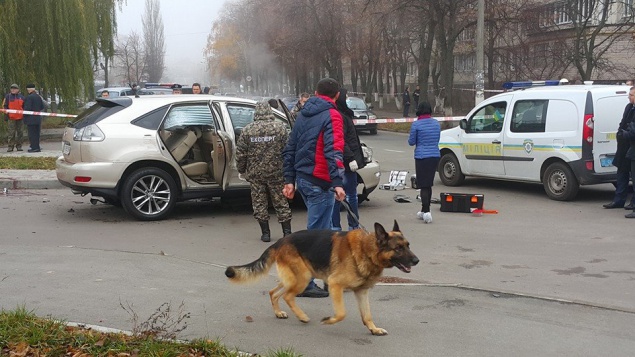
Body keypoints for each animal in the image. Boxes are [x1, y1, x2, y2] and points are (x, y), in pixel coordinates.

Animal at [226, 220, 420, 334]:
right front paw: (329, 321)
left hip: (293, 278)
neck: (367, 250)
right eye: (398, 248)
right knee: (287, 296)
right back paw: (302, 316)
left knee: (274, 292)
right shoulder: (335, 285)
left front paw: (373, 329)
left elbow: (367, 315)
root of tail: (281, 241)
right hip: (302, 278)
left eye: (408, 245)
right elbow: (341, 313)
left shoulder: (362, 292)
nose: (417, 260)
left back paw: (279, 313)